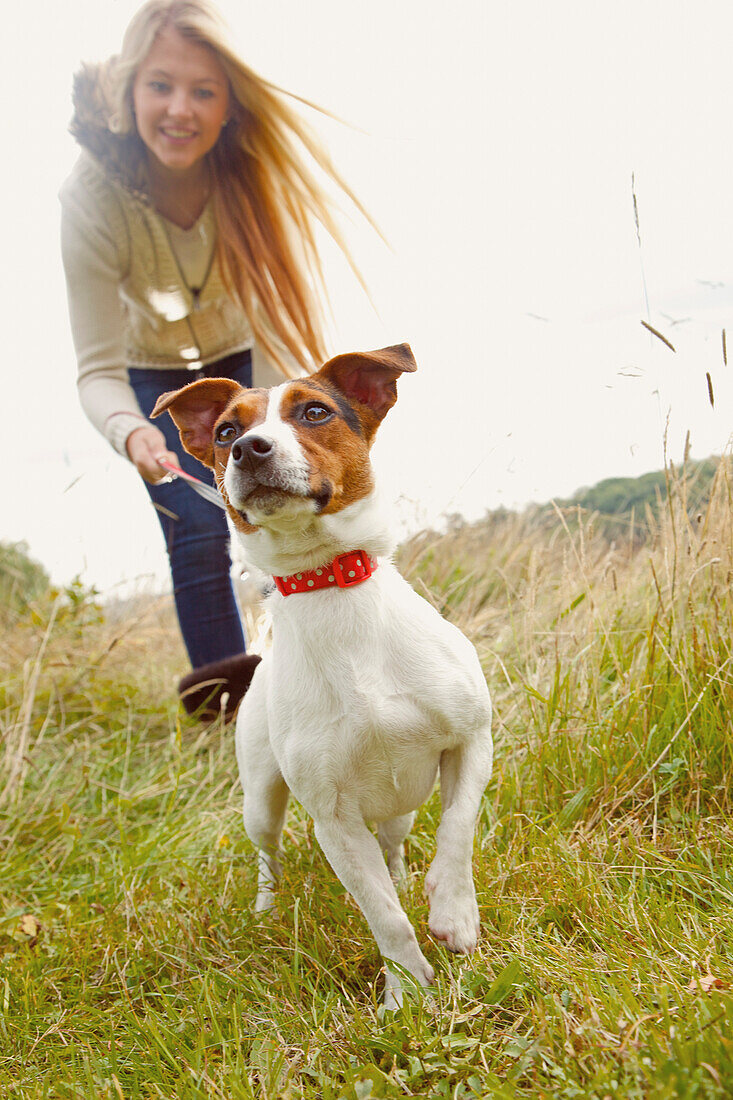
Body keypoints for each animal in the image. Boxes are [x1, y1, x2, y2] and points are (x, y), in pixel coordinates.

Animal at [152, 345, 490, 1007]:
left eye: (314, 412)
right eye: (226, 430)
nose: (248, 448)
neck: (328, 584)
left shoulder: (471, 740)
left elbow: (458, 828)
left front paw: (455, 914)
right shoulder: (333, 821)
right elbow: (384, 917)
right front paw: (408, 996)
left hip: (399, 808)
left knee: (395, 844)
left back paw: (407, 878)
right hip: (261, 798)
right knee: (269, 854)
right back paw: (267, 908)